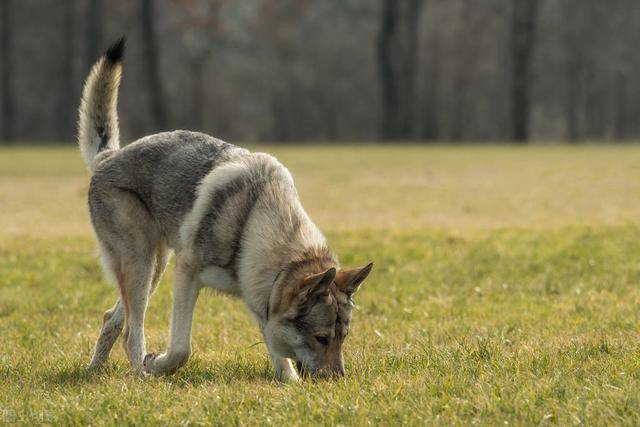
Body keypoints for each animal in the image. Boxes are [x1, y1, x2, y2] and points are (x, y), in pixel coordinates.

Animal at [80, 38, 372, 382]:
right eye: (321, 338)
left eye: (344, 338)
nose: (338, 381)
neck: (253, 223)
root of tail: (108, 157)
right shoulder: (187, 272)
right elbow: (181, 348)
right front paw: (158, 363)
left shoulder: (263, 299)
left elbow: (280, 358)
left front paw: (289, 383)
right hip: (143, 262)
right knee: (131, 331)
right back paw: (142, 373)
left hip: (154, 267)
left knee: (111, 318)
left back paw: (94, 369)